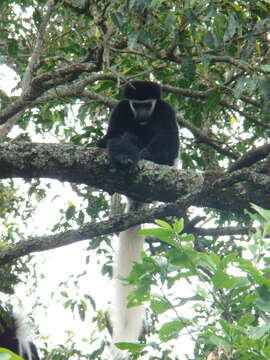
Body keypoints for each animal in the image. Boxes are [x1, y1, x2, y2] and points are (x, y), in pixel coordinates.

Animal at [97, 80, 179, 352]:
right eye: (136, 104)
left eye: (147, 104)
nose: (142, 114)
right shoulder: (121, 109)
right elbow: (113, 134)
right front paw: (122, 150)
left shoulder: (165, 111)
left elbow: (169, 141)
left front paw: (144, 154)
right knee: (120, 137)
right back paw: (124, 156)